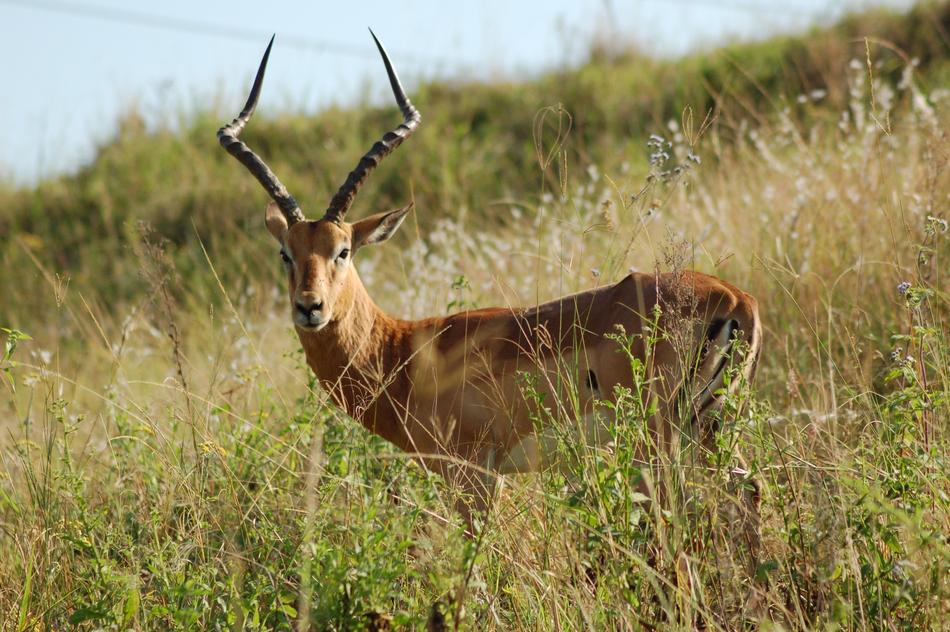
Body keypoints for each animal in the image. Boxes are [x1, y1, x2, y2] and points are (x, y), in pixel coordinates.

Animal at [218, 33, 762, 545]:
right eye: (286, 253)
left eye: (343, 250)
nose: (309, 308)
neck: (402, 356)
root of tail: (735, 300)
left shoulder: (474, 474)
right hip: (710, 430)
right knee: (749, 492)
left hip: (661, 438)